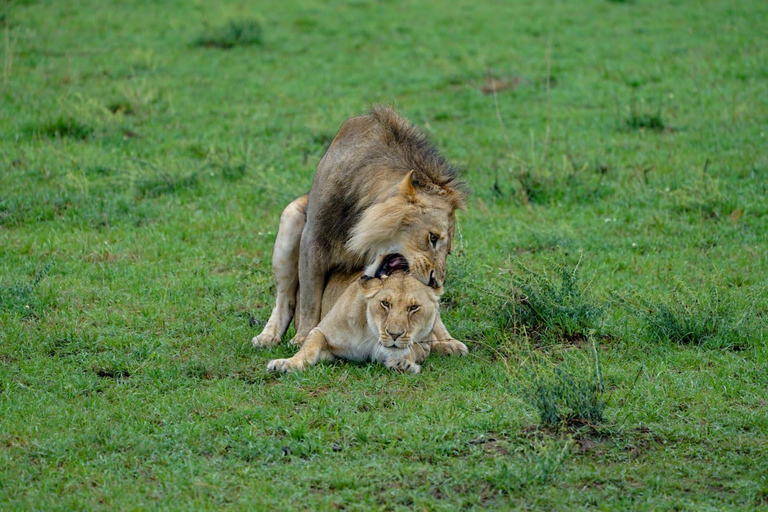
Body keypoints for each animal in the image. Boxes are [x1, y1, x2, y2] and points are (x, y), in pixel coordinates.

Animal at [252, 107, 468, 356]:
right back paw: (268, 336)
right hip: (290, 220)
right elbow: (309, 299)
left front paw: (443, 339)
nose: (436, 281)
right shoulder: (312, 239)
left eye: (448, 250)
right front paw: (303, 337)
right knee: (285, 297)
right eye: (432, 237)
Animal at [268, 270, 440, 374]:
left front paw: (403, 365)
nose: (394, 334)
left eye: (413, 307)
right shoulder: (322, 332)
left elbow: (411, 351)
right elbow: (307, 350)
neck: (372, 335)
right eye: (385, 303)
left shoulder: (424, 345)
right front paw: (285, 364)